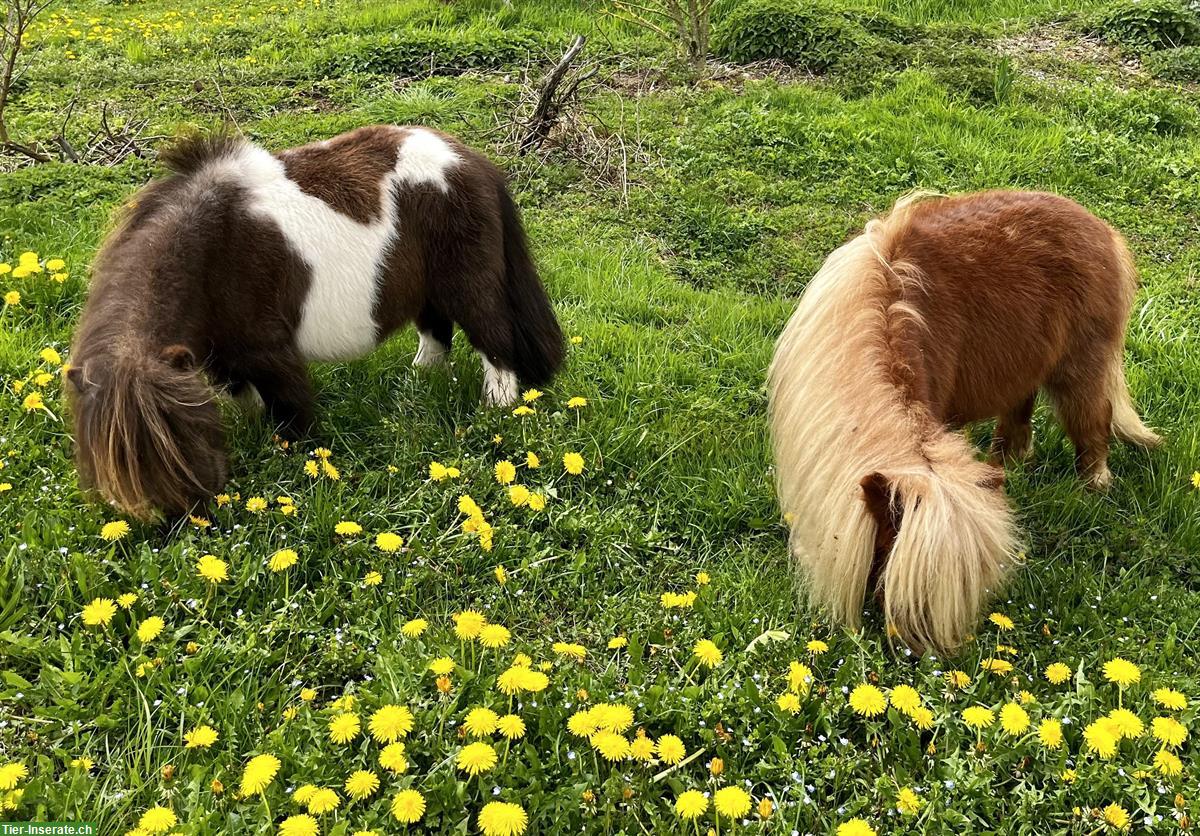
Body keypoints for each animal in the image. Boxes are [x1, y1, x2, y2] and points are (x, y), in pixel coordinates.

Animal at [68, 125, 564, 515]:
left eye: (181, 437)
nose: (194, 514)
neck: (210, 248)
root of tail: (473, 162)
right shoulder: (223, 357)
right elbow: (245, 397)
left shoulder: (270, 349)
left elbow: (291, 408)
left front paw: (300, 456)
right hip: (427, 287)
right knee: (436, 332)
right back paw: (419, 380)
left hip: (469, 286)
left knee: (493, 338)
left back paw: (497, 406)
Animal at [768, 189, 1161, 652]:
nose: (923, 656)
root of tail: (1099, 227)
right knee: (1019, 415)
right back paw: (1008, 464)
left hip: (1081, 367)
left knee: (1092, 426)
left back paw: (1092, 489)